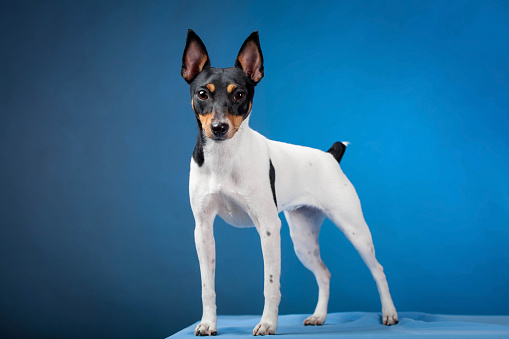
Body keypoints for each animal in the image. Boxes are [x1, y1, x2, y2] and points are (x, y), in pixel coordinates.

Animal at [181, 29, 398, 338]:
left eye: (239, 94)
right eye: (202, 94)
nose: (219, 128)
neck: (225, 159)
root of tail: (330, 156)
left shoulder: (269, 229)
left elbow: (271, 283)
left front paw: (268, 323)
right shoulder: (202, 229)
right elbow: (206, 285)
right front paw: (208, 323)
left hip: (354, 229)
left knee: (378, 270)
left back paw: (390, 313)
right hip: (302, 239)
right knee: (324, 273)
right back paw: (319, 316)